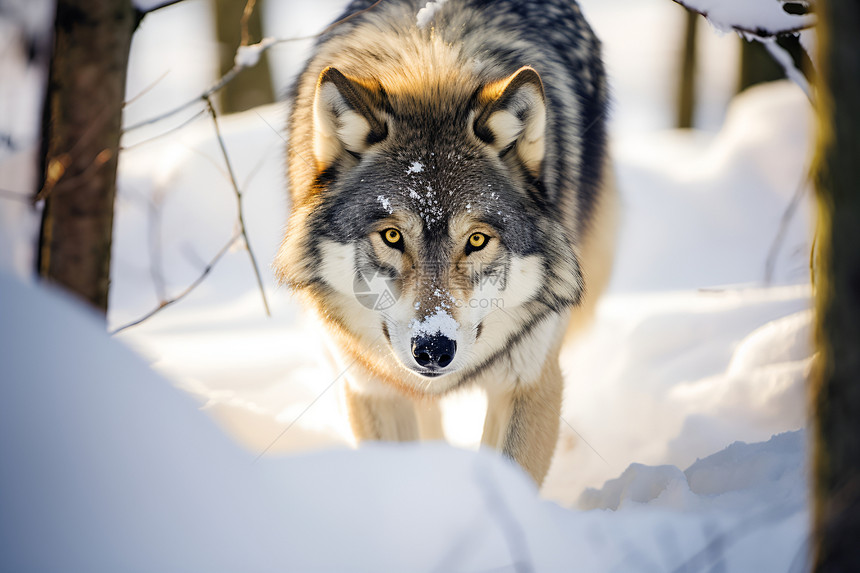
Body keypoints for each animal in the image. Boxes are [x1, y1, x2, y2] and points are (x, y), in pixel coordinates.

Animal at [274, 0, 612, 484]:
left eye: (477, 239)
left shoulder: (531, 383)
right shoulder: (372, 389)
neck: (431, 64)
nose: (434, 348)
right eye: (392, 235)